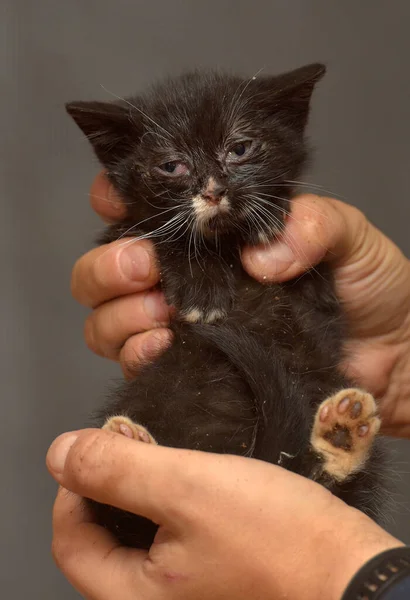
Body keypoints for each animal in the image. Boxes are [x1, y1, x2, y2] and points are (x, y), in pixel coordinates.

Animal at [66, 64, 388, 548]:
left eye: (240, 148)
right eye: (171, 165)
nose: (214, 190)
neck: (226, 245)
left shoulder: (320, 296)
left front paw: (267, 215)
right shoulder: (119, 237)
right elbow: (151, 233)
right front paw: (200, 282)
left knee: (326, 481)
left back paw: (341, 436)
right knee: (125, 518)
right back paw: (131, 440)